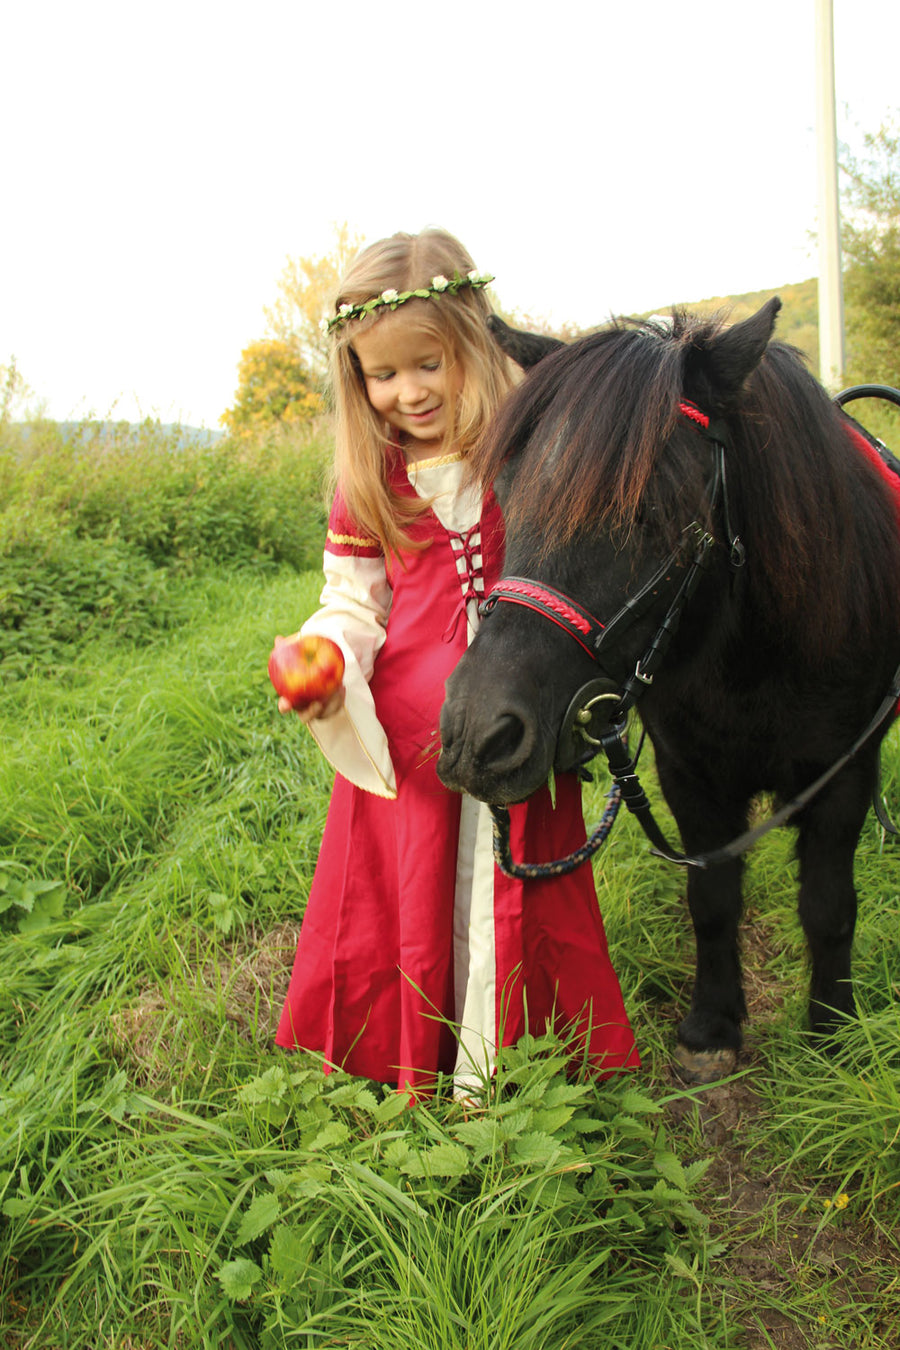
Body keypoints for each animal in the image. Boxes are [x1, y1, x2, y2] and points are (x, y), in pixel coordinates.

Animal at [439, 301, 900, 1080]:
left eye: (651, 510)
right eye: (507, 495)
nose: (477, 734)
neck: (754, 658)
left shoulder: (842, 774)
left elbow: (828, 907)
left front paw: (832, 1035)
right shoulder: (688, 774)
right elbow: (711, 899)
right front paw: (713, 1024)